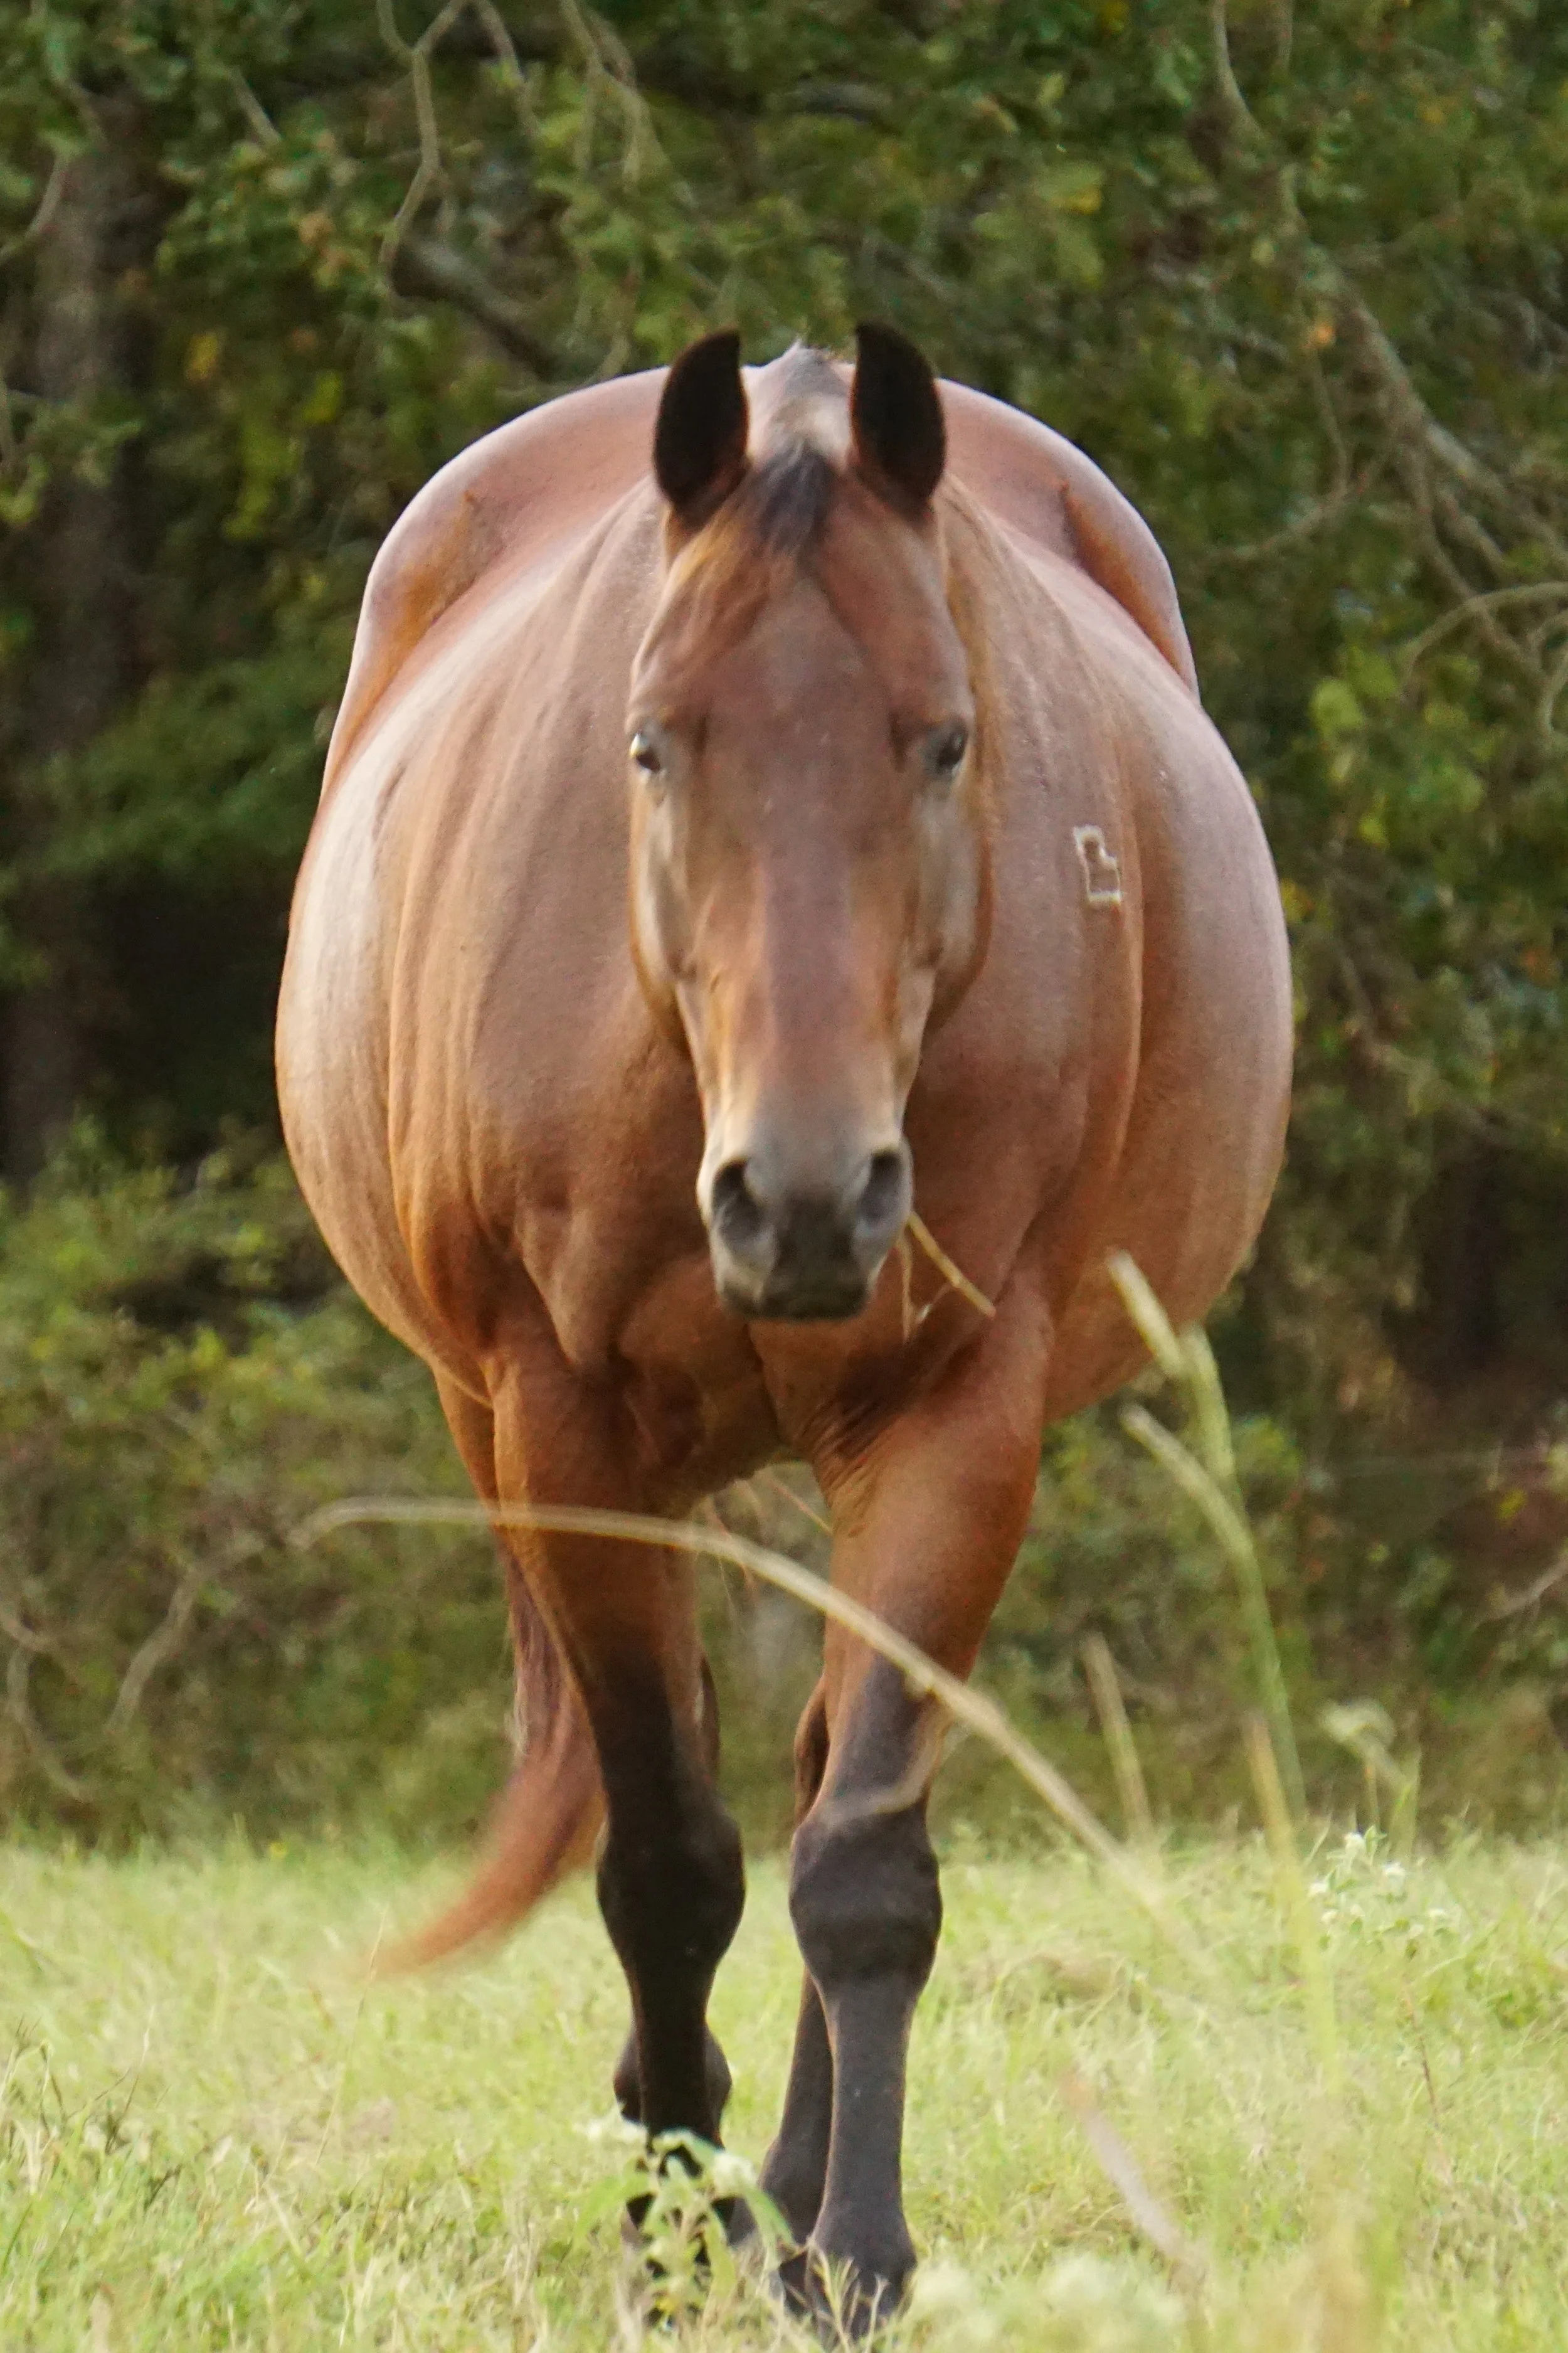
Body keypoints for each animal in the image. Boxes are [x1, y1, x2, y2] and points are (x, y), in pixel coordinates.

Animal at [276, 322, 1291, 2326]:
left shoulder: (958, 1411)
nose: (804, 1196)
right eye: (653, 739)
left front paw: (855, 2251)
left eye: (947, 736)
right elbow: (667, 1861)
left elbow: (864, 1858)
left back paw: (800, 2184)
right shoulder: (563, 1420)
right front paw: (674, 2239)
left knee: (830, 1766)